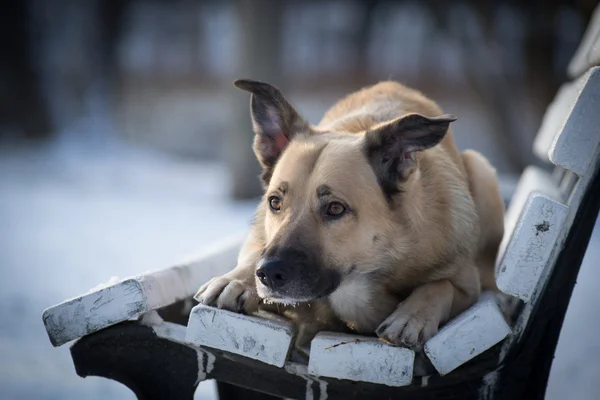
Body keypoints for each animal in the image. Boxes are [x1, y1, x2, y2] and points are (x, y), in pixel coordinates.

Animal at [195, 79, 504, 350]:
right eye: (275, 202)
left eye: (335, 208)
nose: (268, 274)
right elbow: (252, 255)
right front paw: (236, 280)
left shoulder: (467, 284)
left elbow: (441, 285)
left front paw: (412, 315)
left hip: (481, 169)